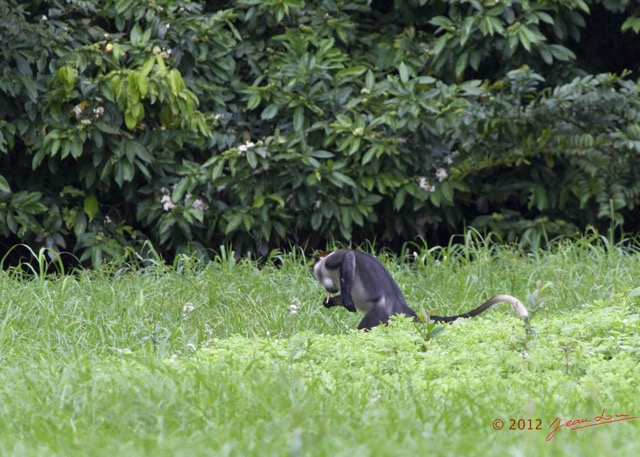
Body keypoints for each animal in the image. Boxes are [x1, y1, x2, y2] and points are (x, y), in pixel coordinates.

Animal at [312, 248, 528, 330]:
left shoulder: (333, 260)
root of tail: (400, 304)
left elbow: (349, 256)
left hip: (379, 313)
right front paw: (330, 302)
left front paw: (346, 298)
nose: (329, 288)